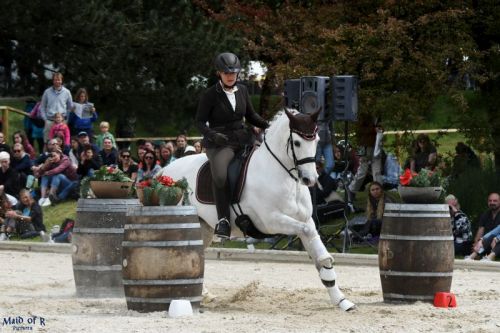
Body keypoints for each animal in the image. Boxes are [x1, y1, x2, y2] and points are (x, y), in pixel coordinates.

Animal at [160, 110, 356, 310]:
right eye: (297, 143)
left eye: (316, 140)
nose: (310, 179)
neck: (284, 175)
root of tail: (164, 170)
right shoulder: (271, 222)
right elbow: (308, 232)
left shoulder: (305, 219)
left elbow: (318, 249)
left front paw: (340, 299)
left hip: (203, 228)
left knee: (199, 255)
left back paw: (205, 295)